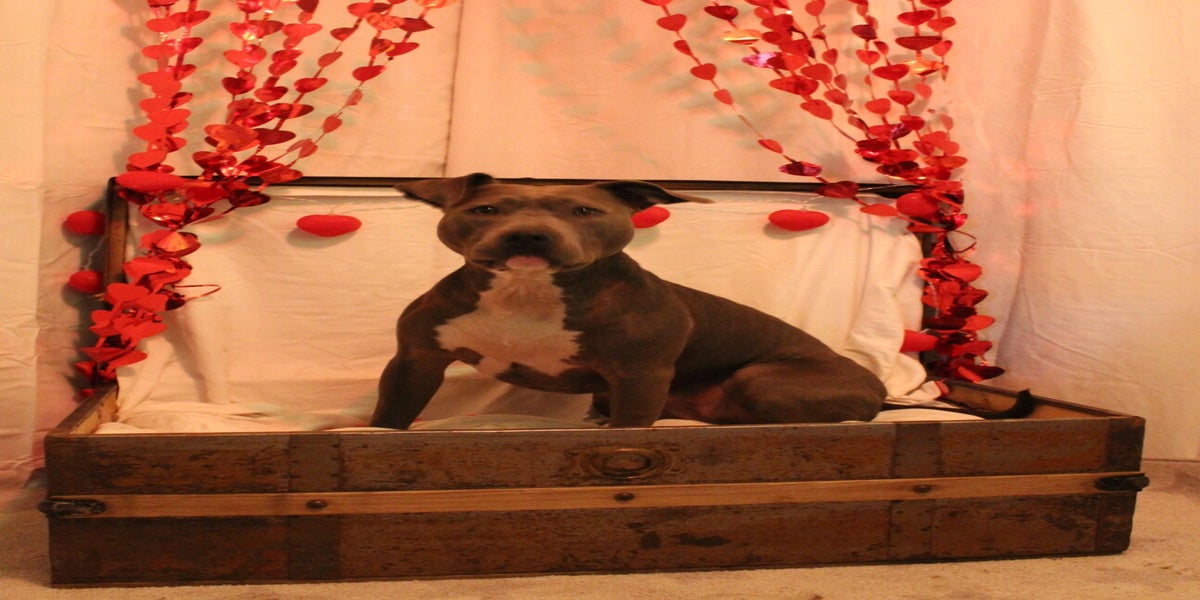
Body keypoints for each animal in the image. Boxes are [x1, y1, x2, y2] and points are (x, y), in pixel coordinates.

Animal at [371, 174, 888, 429]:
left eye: (585, 211)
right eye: (486, 209)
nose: (529, 234)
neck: (527, 292)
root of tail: (882, 389)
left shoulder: (640, 377)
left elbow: (629, 432)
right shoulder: (415, 360)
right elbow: (388, 420)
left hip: (761, 381)